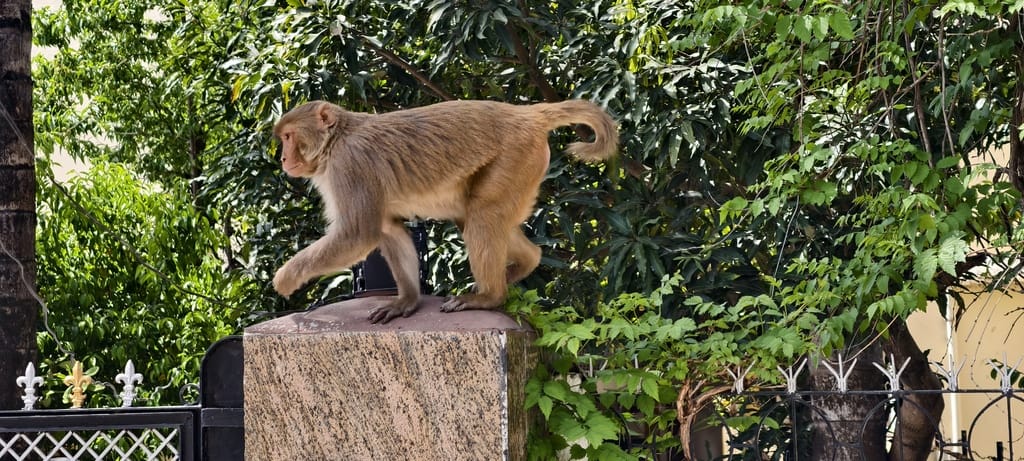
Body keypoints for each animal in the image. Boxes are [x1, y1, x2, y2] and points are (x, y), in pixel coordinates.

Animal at [271, 99, 618, 323]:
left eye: (288, 137)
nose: (284, 159)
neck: (337, 139)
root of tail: (526, 114)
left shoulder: (350, 166)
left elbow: (359, 234)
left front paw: (286, 278)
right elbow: (387, 229)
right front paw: (407, 302)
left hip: (517, 156)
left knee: (482, 215)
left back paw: (490, 296)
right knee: (473, 216)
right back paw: (526, 262)